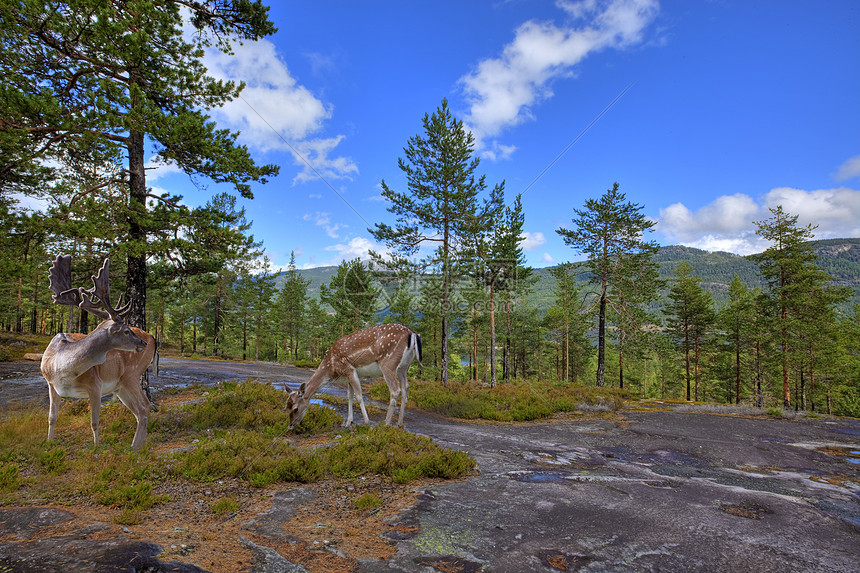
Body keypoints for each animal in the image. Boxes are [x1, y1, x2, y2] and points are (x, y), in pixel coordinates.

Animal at [41, 256, 158, 450]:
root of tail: (153, 338)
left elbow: (94, 421)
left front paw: (96, 446)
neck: (61, 370)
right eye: (126, 331)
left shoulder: (95, 384)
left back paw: (134, 447)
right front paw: (49, 442)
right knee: (139, 410)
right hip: (120, 386)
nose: (142, 343)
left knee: (145, 406)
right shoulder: (51, 385)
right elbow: (51, 417)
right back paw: (139, 445)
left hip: (132, 374)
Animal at [288, 324, 422, 426]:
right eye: (286, 407)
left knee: (395, 390)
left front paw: (366, 422)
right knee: (405, 388)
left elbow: (358, 396)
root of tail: (413, 334)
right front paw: (348, 422)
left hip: (388, 363)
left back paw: (385, 423)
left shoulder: (349, 370)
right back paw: (399, 423)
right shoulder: (349, 377)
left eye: (295, 409)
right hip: (403, 367)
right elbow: (349, 396)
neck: (331, 368)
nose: (291, 426)